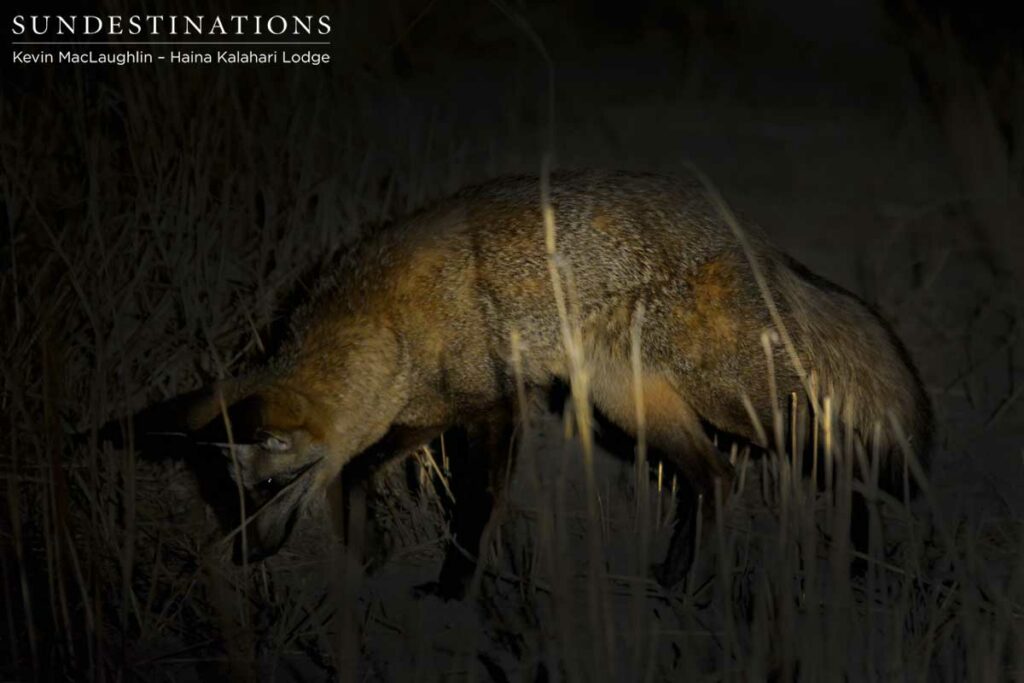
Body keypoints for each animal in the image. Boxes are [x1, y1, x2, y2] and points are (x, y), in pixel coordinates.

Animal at [98, 169, 932, 593]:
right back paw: (675, 576)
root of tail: (751, 236)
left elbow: (471, 513)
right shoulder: (430, 409)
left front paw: (451, 588)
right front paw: (367, 550)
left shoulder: (495, 409)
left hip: (738, 401)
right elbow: (358, 469)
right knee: (715, 479)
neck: (387, 322)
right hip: (632, 405)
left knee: (839, 450)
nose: (249, 552)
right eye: (233, 497)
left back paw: (862, 560)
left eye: (269, 488)